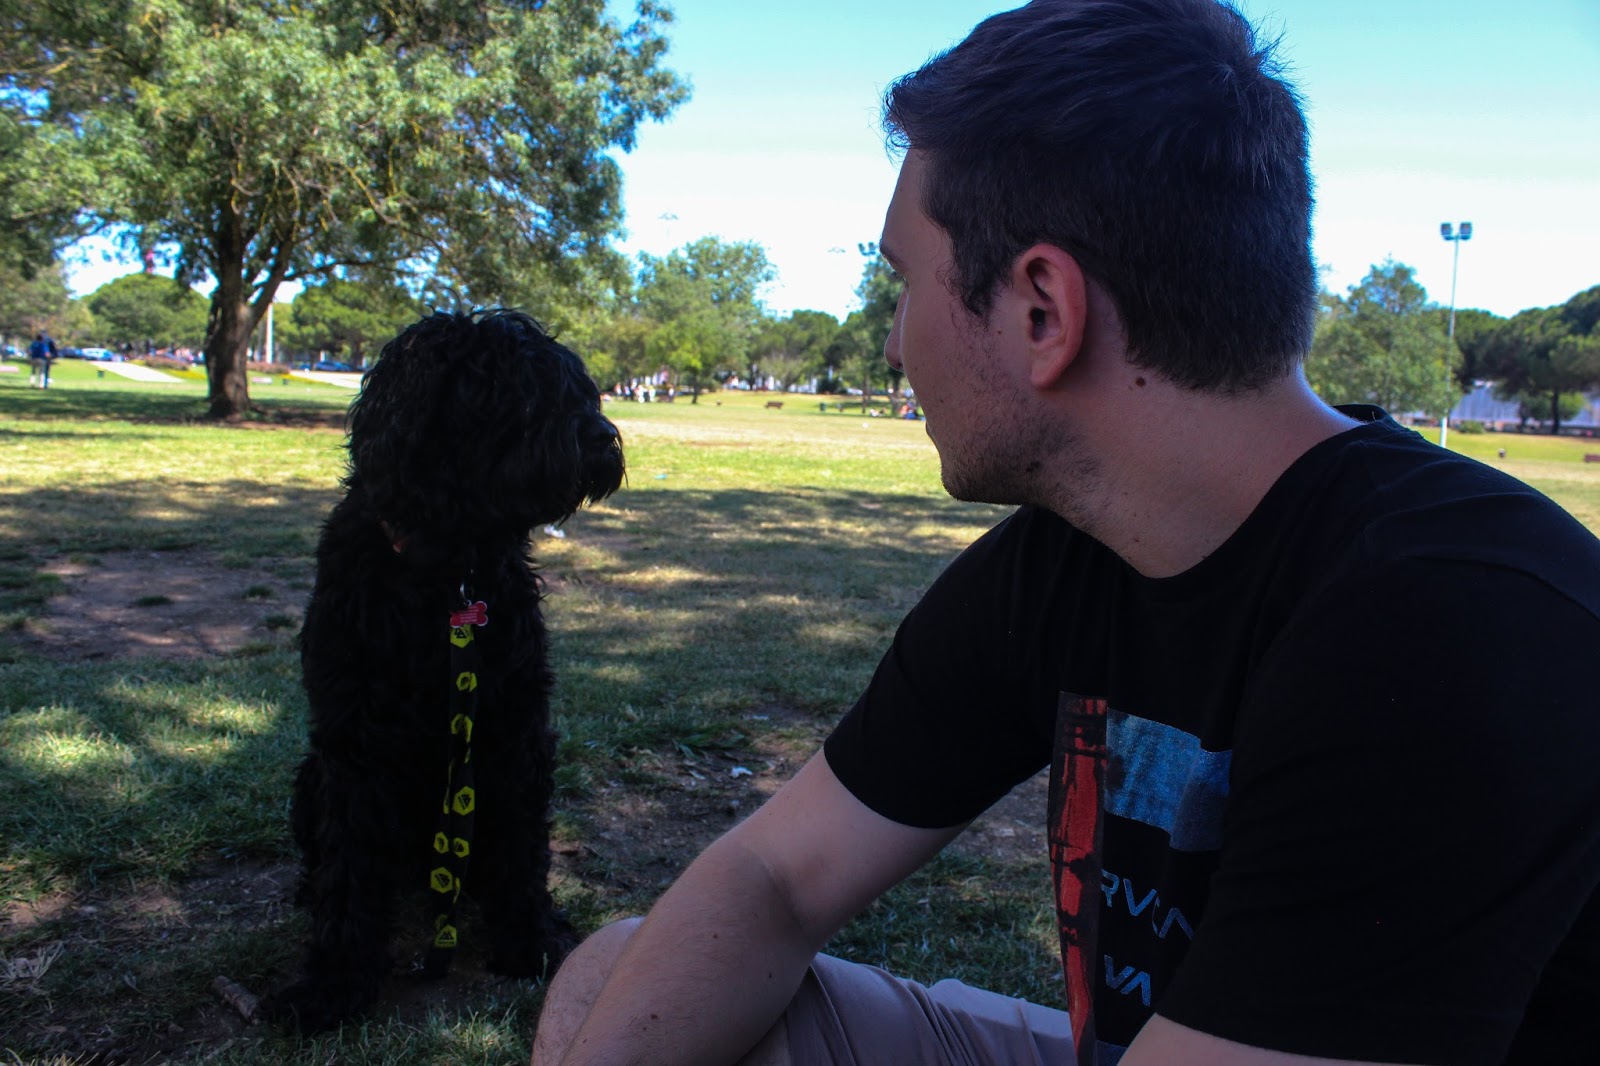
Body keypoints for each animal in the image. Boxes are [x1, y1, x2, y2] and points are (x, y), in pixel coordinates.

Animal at [264, 309, 624, 1032]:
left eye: (580, 388)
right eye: (518, 392)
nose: (604, 436)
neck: (450, 576)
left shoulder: (515, 731)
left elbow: (522, 847)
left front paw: (532, 938)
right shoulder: (355, 746)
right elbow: (349, 866)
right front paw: (333, 984)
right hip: (310, 778)